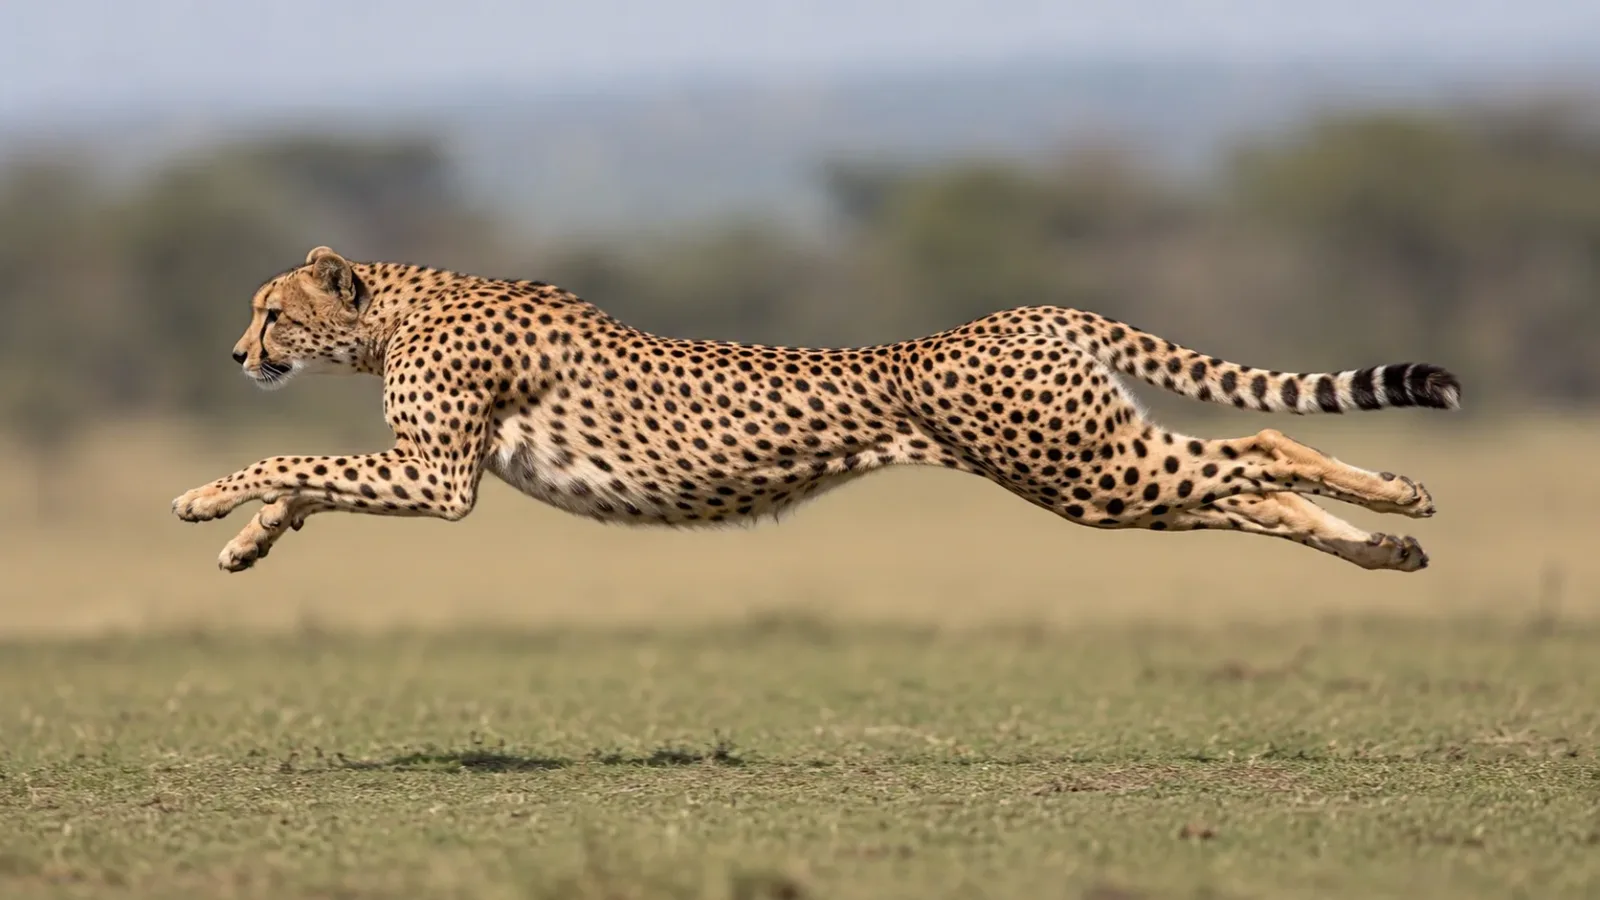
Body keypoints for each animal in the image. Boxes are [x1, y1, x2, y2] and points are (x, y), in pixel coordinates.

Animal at [172, 245, 1462, 574]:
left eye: (271, 311)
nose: (234, 351)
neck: (396, 308)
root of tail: (1029, 309)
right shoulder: (422, 471)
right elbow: (308, 484)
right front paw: (246, 542)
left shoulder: (437, 478)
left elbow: (293, 458)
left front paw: (201, 498)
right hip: (1101, 472)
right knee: (1251, 484)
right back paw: (1390, 539)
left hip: (1084, 467)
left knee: (1258, 447)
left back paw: (1396, 495)